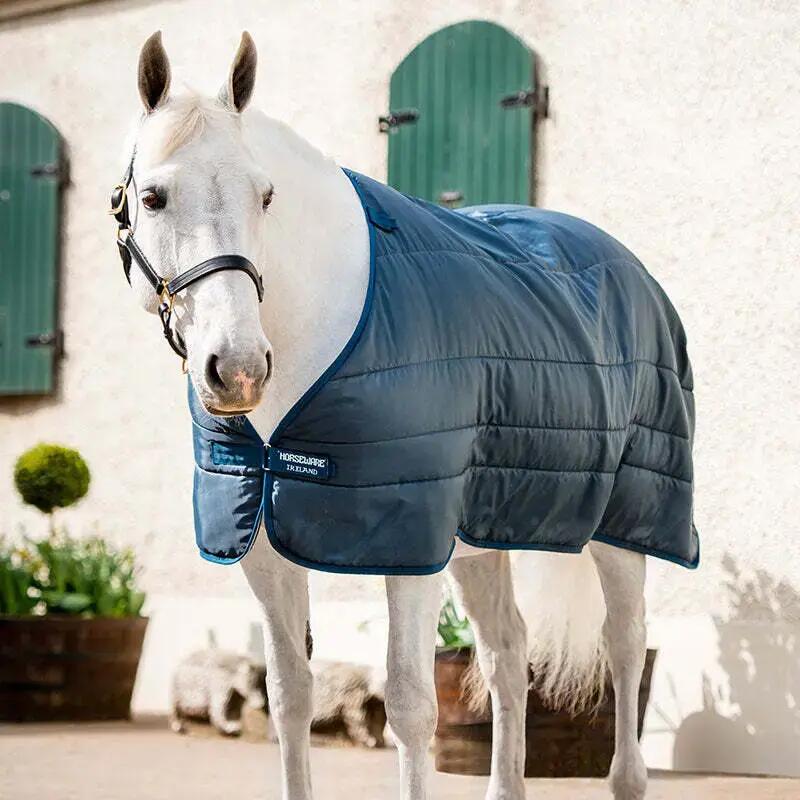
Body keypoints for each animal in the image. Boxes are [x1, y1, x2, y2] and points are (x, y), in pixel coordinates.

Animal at [113, 31, 698, 800]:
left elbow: (412, 706)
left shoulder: (409, 544)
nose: (237, 368)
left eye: (265, 195)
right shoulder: (264, 547)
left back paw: (626, 775)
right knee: (508, 653)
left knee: (624, 644)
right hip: (482, 541)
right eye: (153, 197)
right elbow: (289, 696)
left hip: (627, 521)